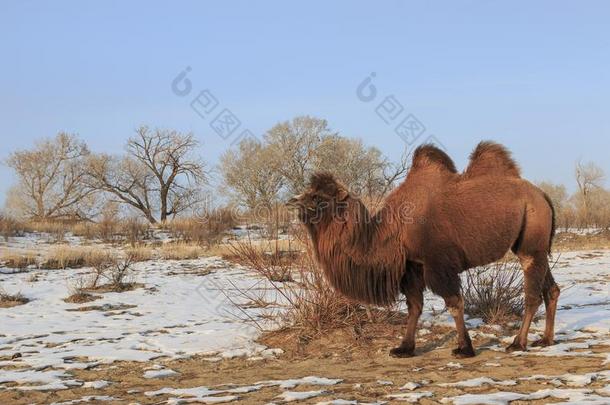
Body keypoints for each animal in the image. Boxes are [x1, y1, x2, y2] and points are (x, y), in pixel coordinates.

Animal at [288, 141, 560, 356]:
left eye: (319, 198)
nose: (292, 200)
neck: (393, 229)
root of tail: (543, 196)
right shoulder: (412, 265)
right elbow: (414, 307)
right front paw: (404, 348)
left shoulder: (438, 263)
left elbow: (454, 303)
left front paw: (464, 348)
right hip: (536, 245)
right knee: (551, 289)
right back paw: (546, 340)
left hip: (531, 240)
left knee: (532, 293)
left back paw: (517, 343)